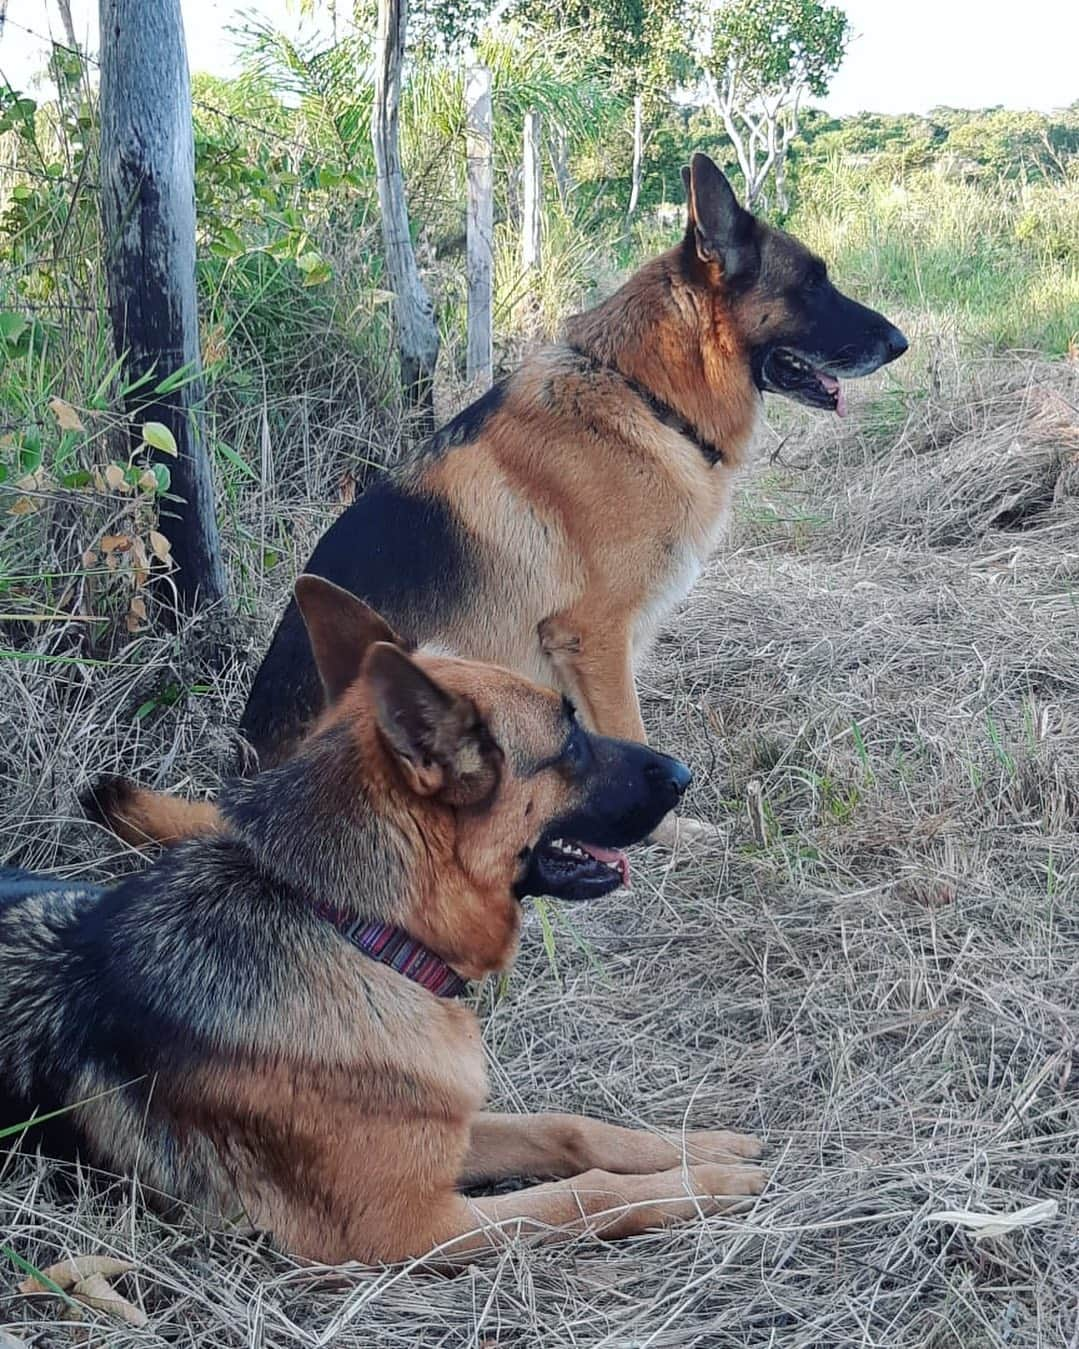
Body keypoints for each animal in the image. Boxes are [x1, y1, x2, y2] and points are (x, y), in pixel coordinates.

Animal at [6, 577, 766, 1262]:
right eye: (570, 744)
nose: (684, 773)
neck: (355, 931)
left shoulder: (444, 1131)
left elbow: (570, 1129)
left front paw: (697, 1147)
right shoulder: (410, 1225)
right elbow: (583, 1194)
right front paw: (703, 1183)